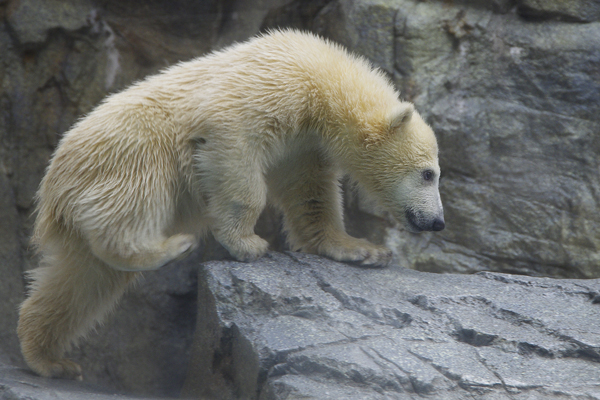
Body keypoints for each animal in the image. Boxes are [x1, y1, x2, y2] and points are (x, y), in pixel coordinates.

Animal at [17, 29, 446, 380]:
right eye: (428, 173)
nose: (438, 222)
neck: (322, 79)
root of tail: (52, 186)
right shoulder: (269, 89)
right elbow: (233, 143)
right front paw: (247, 243)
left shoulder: (304, 142)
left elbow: (311, 194)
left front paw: (363, 250)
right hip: (132, 150)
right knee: (133, 202)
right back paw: (172, 246)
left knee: (81, 284)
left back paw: (49, 359)